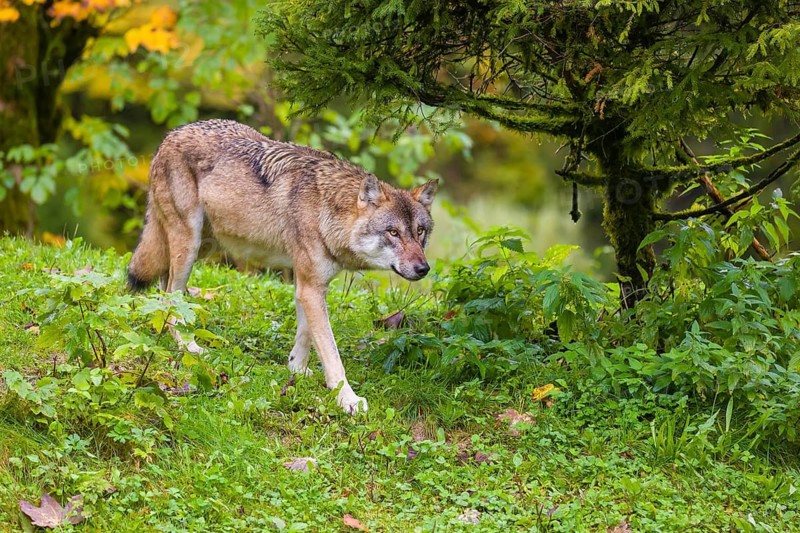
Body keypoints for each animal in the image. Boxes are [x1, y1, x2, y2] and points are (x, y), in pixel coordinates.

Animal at [127, 119, 438, 414]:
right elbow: (331, 352)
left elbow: (306, 334)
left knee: (164, 292)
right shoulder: (311, 287)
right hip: (189, 244)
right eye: (393, 232)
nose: (423, 268)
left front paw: (296, 370)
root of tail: (171, 135)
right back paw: (189, 345)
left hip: (201, 245)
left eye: (420, 232)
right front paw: (347, 399)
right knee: (171, 301)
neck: (326, 210)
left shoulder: (309, 284)